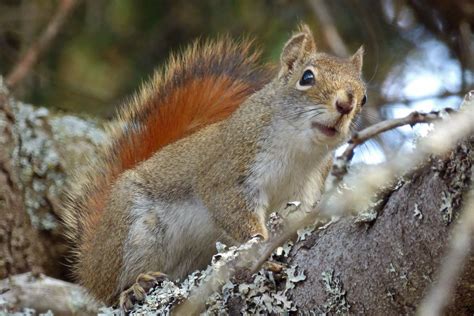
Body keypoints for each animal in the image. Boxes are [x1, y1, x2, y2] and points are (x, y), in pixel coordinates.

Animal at [63, 24, 366, 308]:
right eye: (307, 77)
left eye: (363, 97)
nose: (345, 104)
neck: (299, 151)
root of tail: (90, 264)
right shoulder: (229, 169)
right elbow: (231, 209)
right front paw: (262, 253)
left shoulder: (305, 189)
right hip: (133, 232)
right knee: (112, 291)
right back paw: (133, 288)